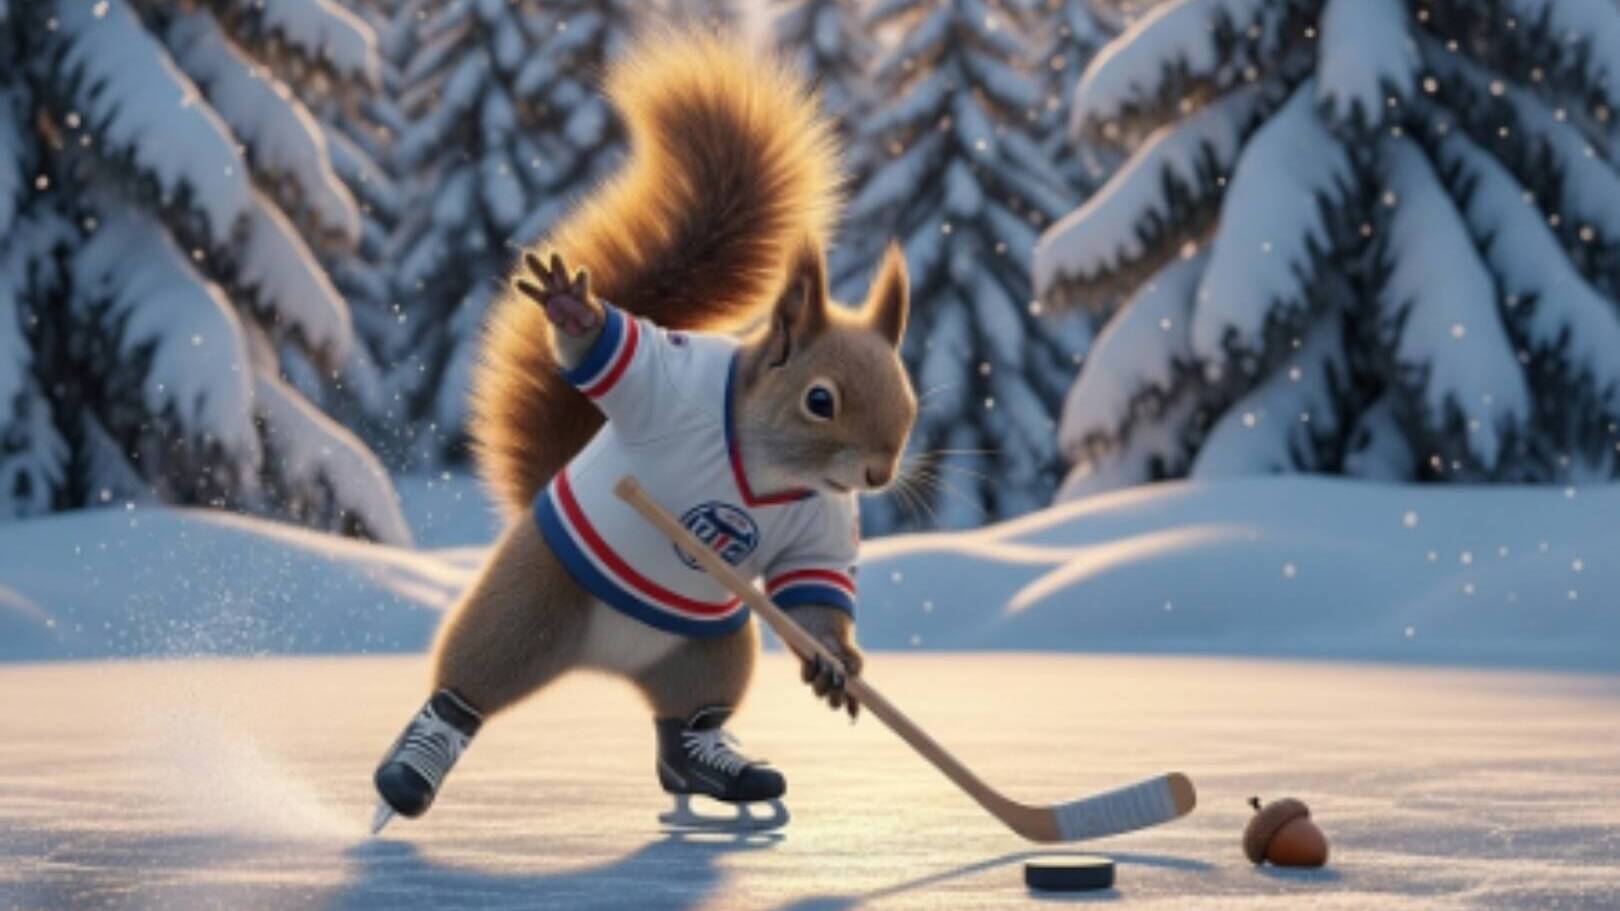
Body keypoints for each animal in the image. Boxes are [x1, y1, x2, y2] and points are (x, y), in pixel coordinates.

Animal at [371, 31, 916, 827]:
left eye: (908, 397)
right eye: (821, 400)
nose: (878, 472)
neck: (767, 467)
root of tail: (608, 661)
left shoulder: (822, 519)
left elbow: (812, 589)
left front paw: (836, 662)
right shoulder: (666, 388)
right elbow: (613, 357)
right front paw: (574, 312)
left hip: (711, 650)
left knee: (684, 721)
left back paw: (720, 771)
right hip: (529, 605)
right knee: (465, 688)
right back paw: (411, 771)